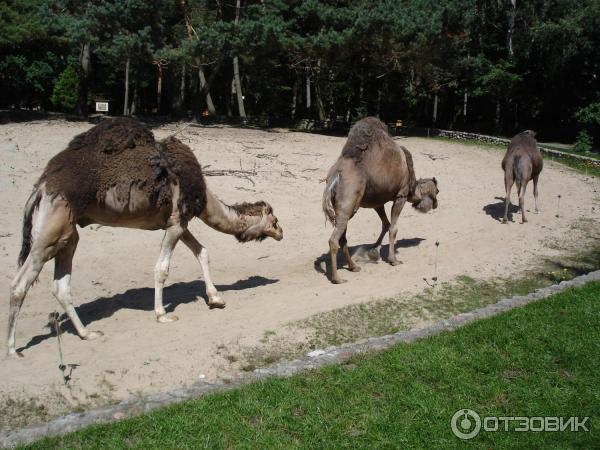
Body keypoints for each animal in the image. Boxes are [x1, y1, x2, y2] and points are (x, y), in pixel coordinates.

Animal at [6, 118, 284, 356]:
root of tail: (40, 189)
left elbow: (202, 251)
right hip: (51, 231)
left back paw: (88, 334)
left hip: (67, 235)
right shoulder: (176, 222)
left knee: (61, 286)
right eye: (274, 220)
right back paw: (12, 349)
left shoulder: (176, 223)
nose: (281, 233)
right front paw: (162, 314)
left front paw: (216, 299)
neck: (204, 198)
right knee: (20, 284)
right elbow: (162, 268)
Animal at [324, 118, 440, 284]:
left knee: (342, 238)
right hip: (348, 203)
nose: (436, 204)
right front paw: (394, 260)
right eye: (438, 191)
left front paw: (374, 249)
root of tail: (335, 175)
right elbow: (393, 228)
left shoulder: (378, 202)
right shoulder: (401, 195)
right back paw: (337, 278)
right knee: (334, 240)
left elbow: (385, 223)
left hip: (342, 208)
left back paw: (354, 267)